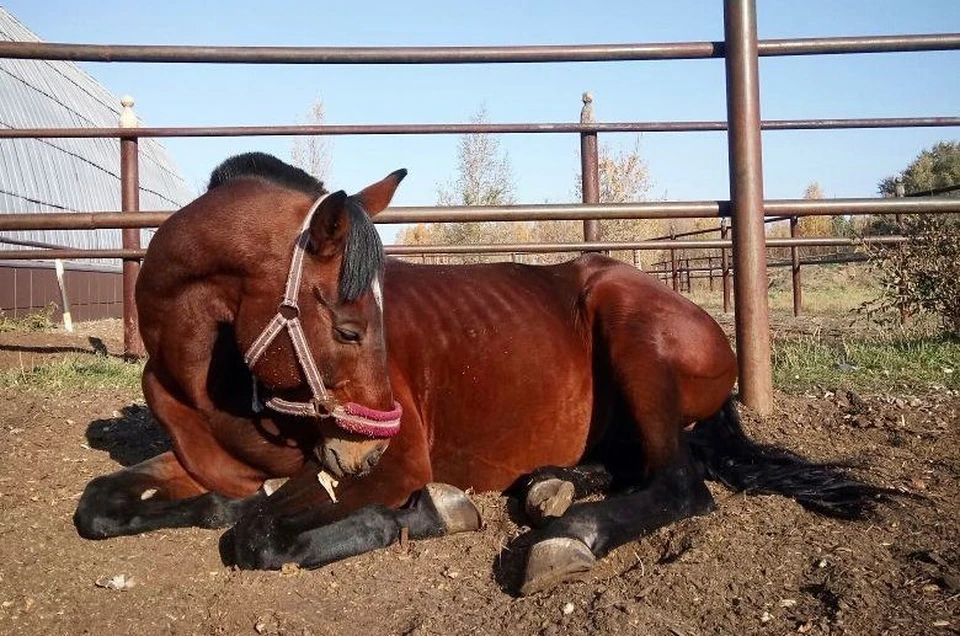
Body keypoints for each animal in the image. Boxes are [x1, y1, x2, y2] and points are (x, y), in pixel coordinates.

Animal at [73, 154, 892, 596]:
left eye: (369, 325)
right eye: (348, 327)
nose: (366, 451)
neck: (216, 381)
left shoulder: (393, 462)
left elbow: (259, 535)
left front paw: (425, 514)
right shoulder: (211, 462)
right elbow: (102, 505)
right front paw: (213, 505)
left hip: (631, 332)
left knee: (681, 482)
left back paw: (567, 534)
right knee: (635, 462)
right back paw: (550, 486)